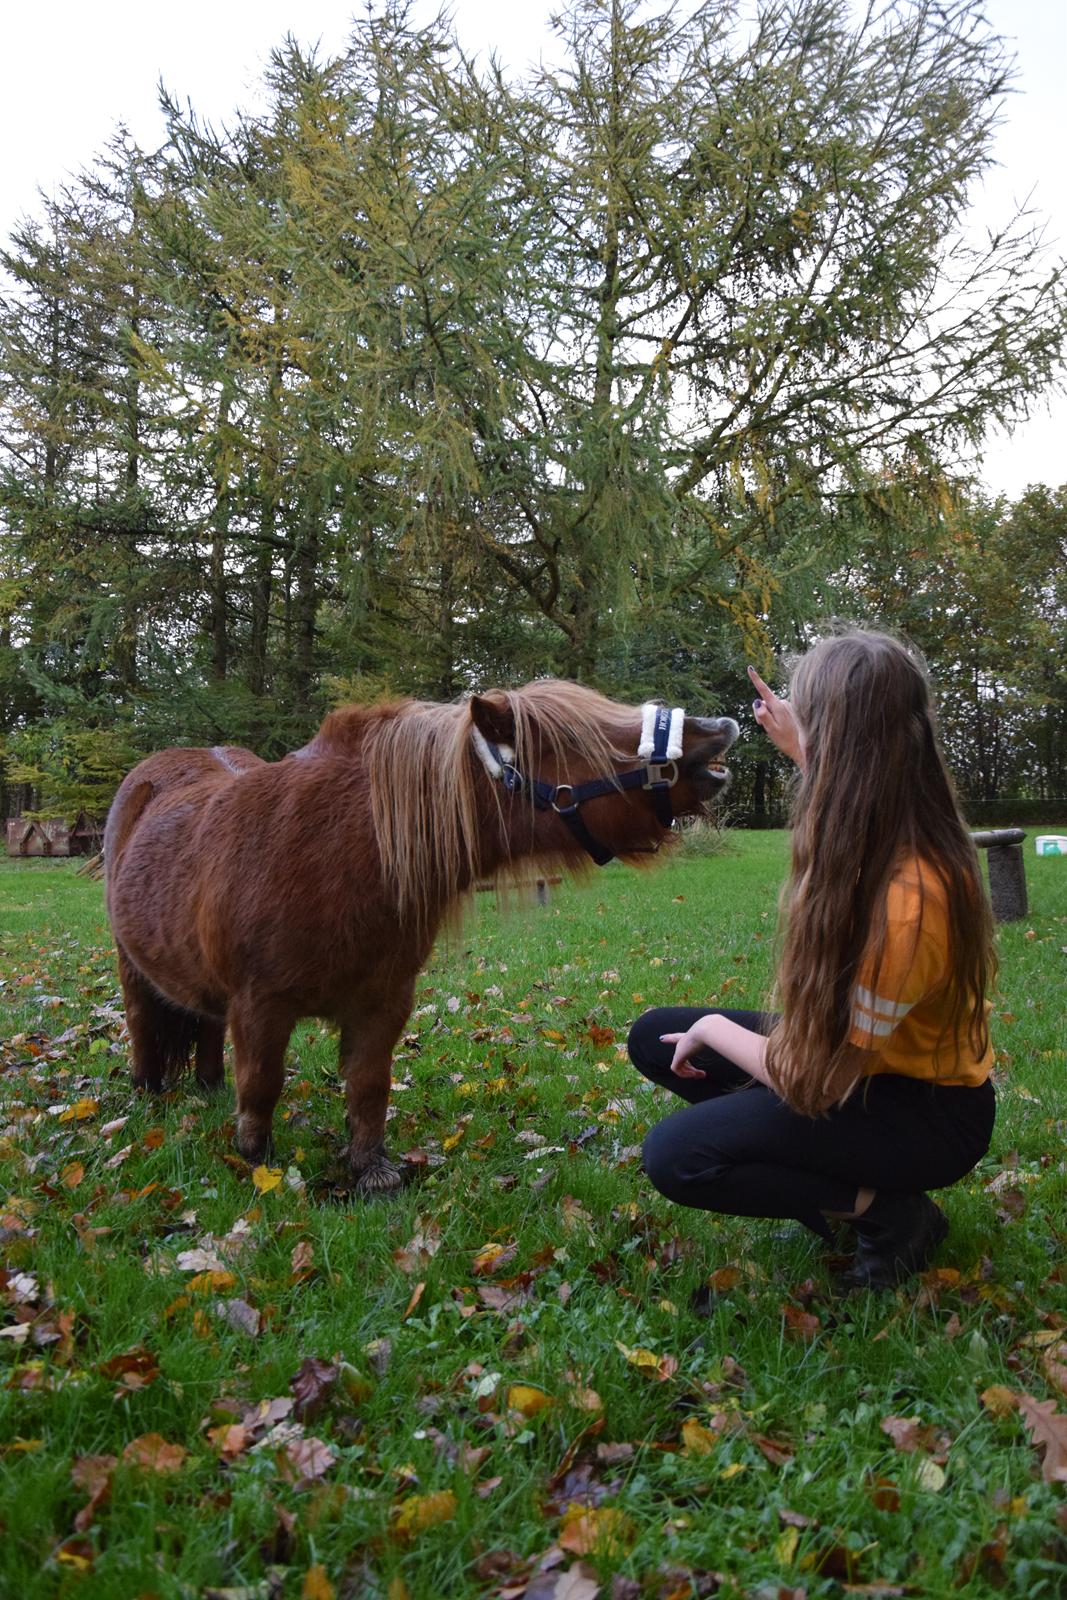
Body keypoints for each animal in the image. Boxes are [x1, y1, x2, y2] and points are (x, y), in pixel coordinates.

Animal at [106, 681, 742, 1196]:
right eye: (579, 737)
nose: (719, 727)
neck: (341, 851)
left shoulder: (383, 1001)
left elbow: (369, 1087)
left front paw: (370, 1171)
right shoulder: (261, 1006)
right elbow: (262, 1086)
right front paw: (255, 1161)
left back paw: (208, 1089)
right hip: (131, 966)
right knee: (142, 1023)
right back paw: (148, 1093)